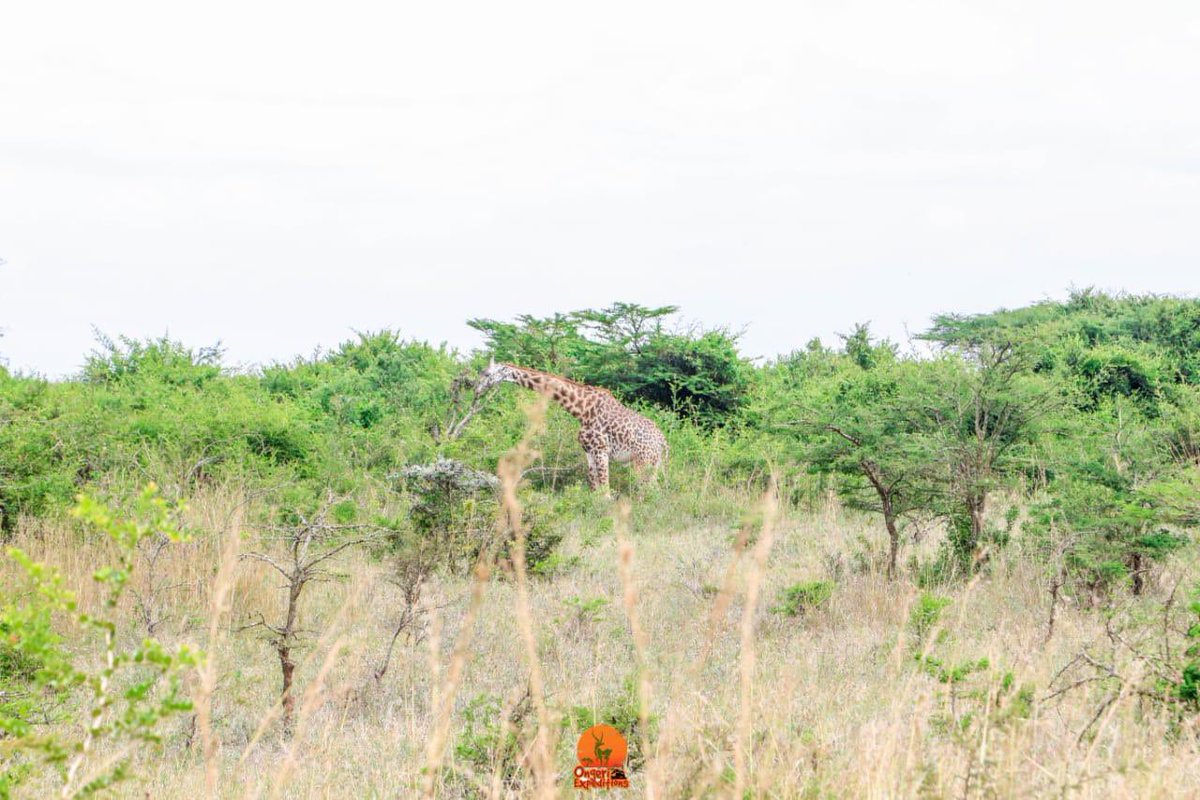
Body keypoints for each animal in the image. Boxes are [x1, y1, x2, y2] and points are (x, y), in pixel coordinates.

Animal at [476, 360, 669, 491]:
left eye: (487, 374)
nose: (476, 390)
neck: (582, 410)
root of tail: (663, 441)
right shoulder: (589, 451)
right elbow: (595, 489)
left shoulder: (601, 449)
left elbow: (605, 491)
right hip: (653, 464)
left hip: (643, 462)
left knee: (652, 491)